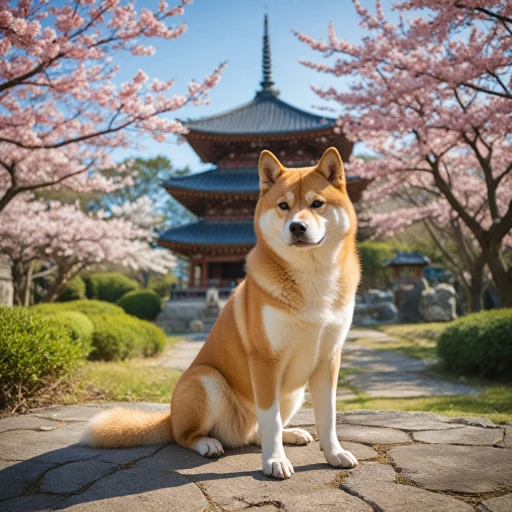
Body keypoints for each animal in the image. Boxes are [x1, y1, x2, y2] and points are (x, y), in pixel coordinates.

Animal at [83, 146, 360, 478]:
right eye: (283, 206)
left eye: (316, 203)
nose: (297, 227)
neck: (313, 279)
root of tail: (171, 416)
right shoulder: (265, 361)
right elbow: (271, 420)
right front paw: (274, 461)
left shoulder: (328, 358)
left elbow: (328, 417)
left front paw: (334, 453)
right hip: (206, 379)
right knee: (186, 436)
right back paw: (208, 443)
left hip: (293, 393)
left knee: (257, 432)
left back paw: (291, 434)